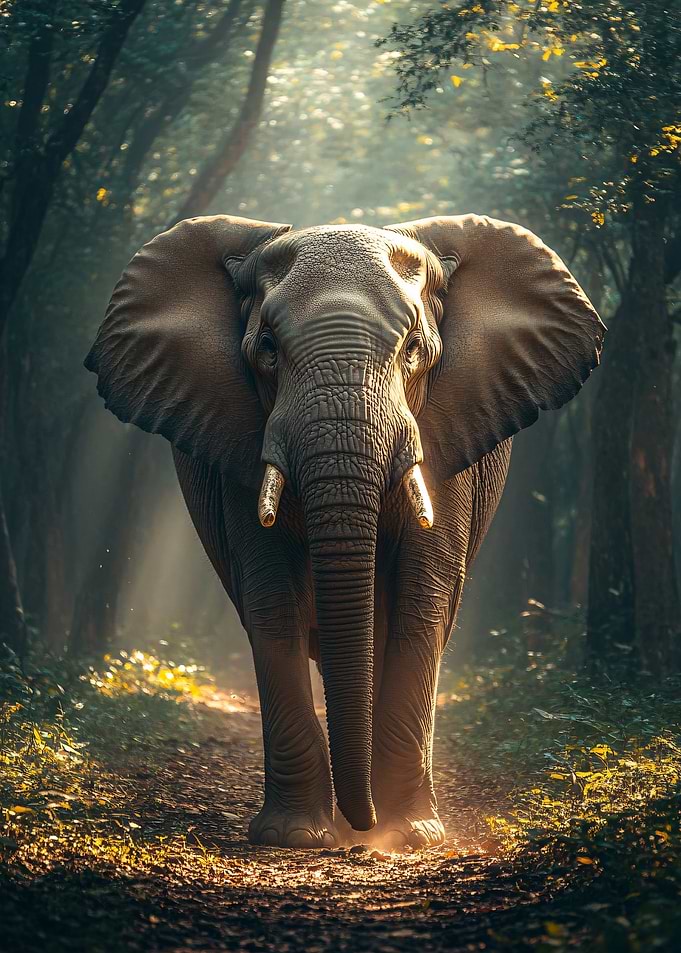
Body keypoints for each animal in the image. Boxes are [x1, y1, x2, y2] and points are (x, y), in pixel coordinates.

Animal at [85, 213, 604, 850]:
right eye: (267, 350)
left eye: (414, 351)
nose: (365, 826)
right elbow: (272, 603)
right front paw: (293, 836)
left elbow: (421, 601)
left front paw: (411, 837)